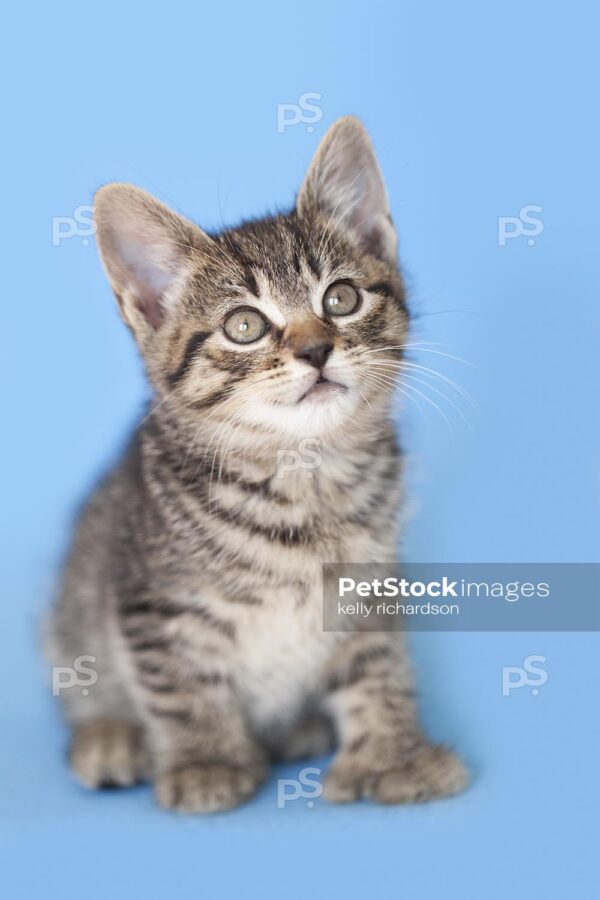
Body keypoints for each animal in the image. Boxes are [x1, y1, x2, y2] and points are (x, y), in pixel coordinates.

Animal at [49, 116, 466, 812]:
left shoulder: (370, 587)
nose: (317, 349)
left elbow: (377, 667)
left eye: (341, 298)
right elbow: (182, 688)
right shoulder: (153, 604)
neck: (304, 478)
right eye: (244, 326)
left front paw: (393, 754)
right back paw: (110, 738)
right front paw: (206, 763)